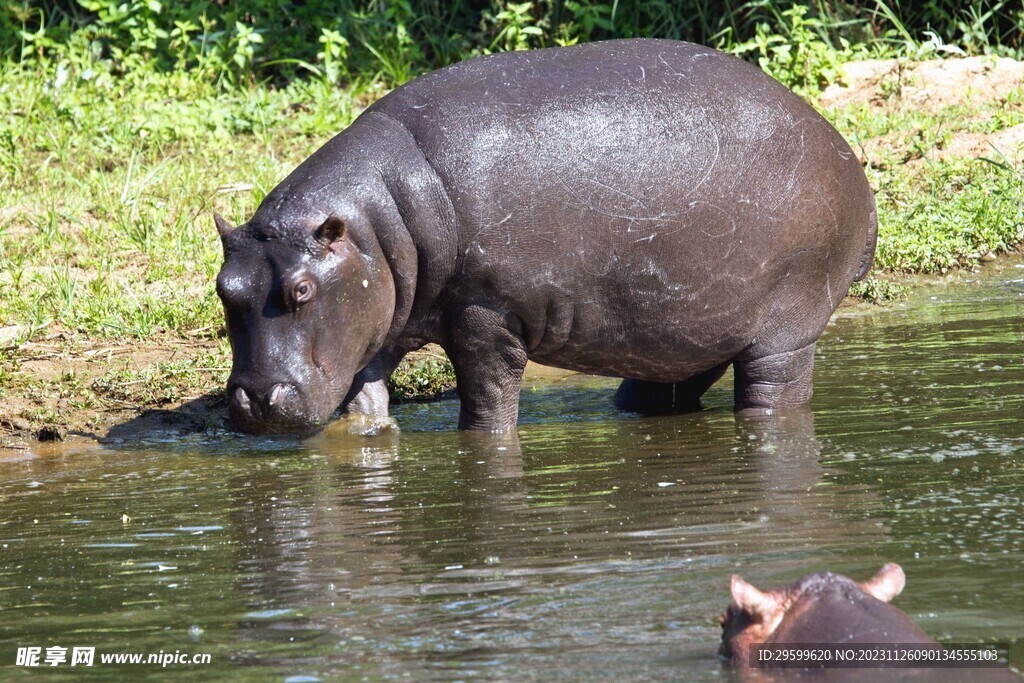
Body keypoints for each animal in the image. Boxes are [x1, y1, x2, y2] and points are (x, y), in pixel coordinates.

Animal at [211, 38, 876, 432]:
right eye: (224, 288)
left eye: (301, 289)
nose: (253, 401)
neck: (376, 223)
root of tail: (848, 159)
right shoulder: (379, 320)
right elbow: (364, 402)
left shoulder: (488, 317)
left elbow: (486, 402)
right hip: (693, 329)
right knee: (669, 387)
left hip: (785, 331)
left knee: (773, 393)